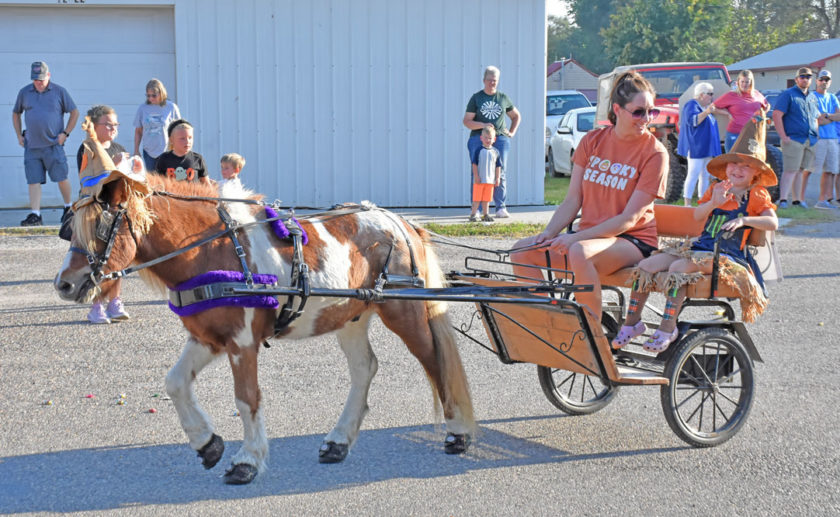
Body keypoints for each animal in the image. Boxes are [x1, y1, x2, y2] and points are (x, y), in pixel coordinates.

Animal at [54, 174, 472, 484]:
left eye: (101, 227)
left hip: (404, 311)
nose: (64, 284)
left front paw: (247, 461)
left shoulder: (242, 342)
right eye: (70, 228)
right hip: (351, 314)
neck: (212, 249)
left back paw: (458, 431)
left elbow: (246, 399)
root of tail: (402, 223)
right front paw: (207, 444)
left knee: (434, 360)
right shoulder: (207, 337)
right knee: (364, 368)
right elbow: (175, 383)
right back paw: (339, 440)